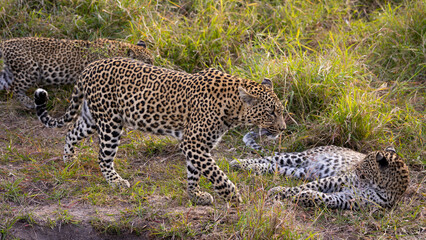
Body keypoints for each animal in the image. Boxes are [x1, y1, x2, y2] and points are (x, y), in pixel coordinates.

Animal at [0, 36, 153, 108]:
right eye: (147, 62)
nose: (153, 69)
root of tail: (5, 43)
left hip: (8, 72)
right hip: (30, 70)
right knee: (15, 88)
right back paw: (29, 103)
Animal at [34, 57, 286, 205]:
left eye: (281, 111)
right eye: (271, 112)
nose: (283, 128)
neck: (233, 108)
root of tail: (90, 66)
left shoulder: (197, 146)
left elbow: (194, 172)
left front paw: (196, 195)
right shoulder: (194, 143)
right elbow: (215, 173)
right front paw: (233, 196)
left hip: (92, 118)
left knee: (72, 131)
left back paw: (69, 160)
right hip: (110, 122)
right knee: (103, 156)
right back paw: (116, 182)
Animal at [231, 132, 412, 209]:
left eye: (365, 162)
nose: (354, 167)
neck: (374, 185)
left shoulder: (352, 199)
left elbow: (328, 199)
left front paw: (306, 197)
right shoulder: (336, 180)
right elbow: (306, 186)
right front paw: (279, 191)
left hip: (301, 171)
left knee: (273, 167)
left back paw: (251, 167)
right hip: (298, 158)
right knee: (270, 158)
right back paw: (239, 163)